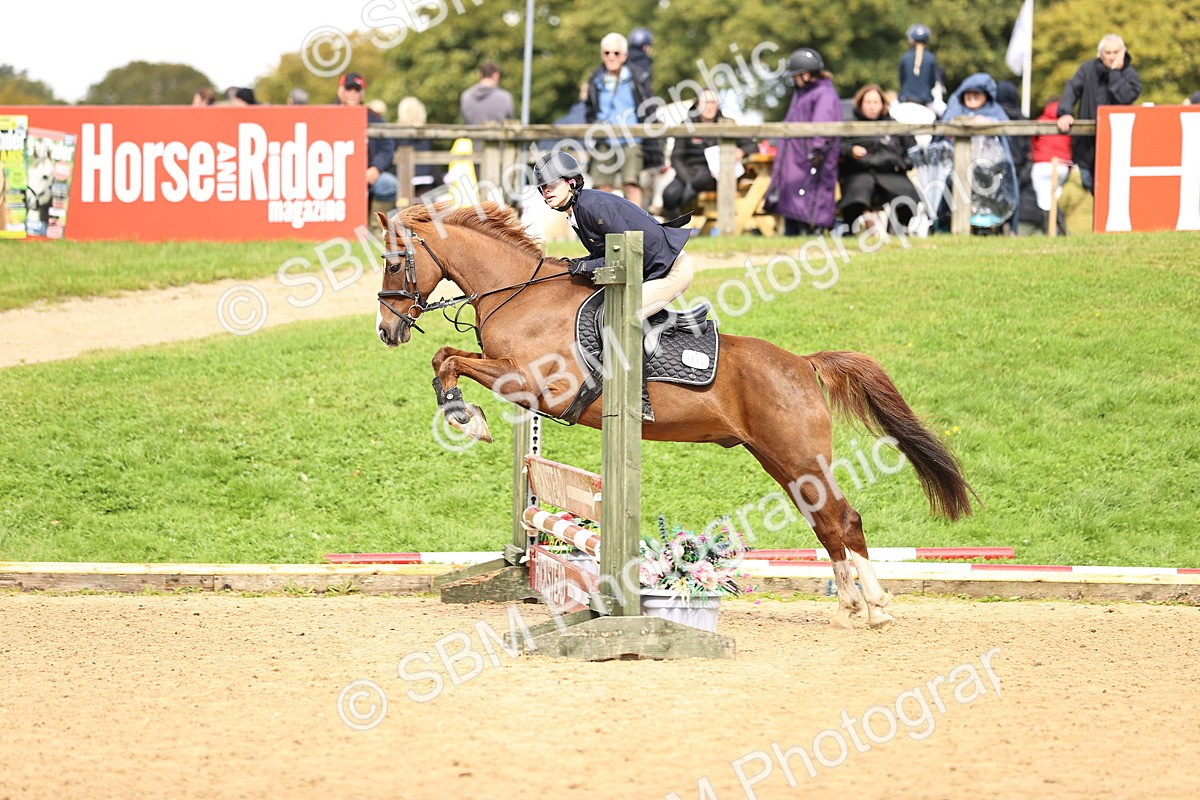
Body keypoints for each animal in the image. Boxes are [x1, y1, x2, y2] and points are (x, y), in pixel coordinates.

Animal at [375, 202, 975, 629]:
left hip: (799, 453)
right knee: (824, 522)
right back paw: (851, 606)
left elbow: (451, 359)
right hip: (780, 459)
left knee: (843, 519)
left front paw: (465, 417)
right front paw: (465, 414)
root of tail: (804, 364)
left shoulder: (536, 385)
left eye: (395, 260)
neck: (522, 297)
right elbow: (446, 357)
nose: (387, 330)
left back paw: (877, 607)